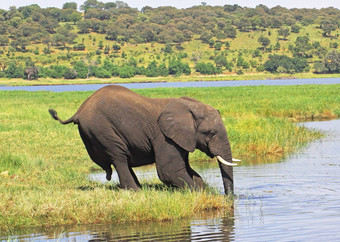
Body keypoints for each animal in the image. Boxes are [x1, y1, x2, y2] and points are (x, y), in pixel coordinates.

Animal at [49, 85, 238, 195]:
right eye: (210, 133)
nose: (230, 198)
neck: (189, 107)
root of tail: (79, 110)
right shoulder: (164, 137)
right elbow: (169, 170)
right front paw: (198, 193)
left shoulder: (180, 139)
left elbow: (186, 168)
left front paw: (203, 190)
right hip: (102, 129)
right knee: (119, 156)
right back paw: (134, 191)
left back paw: (137, 188)